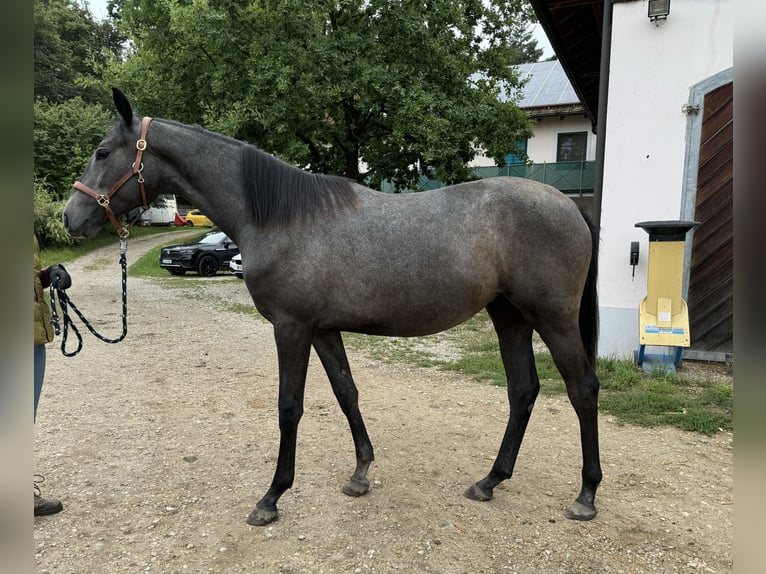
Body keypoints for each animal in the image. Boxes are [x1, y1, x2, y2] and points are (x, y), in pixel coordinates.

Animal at [63, 88, 604, 528]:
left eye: (102, 152)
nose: (70, 217)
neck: (280, 216)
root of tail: (568, 206)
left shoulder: (291, 329)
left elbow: (289, 407)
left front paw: (272, 497)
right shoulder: (322, 330)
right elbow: (347, 394)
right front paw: (361, 473)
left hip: (552, 319)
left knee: (582, 389)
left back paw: (586, 495)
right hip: (508, 317)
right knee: (523, 391)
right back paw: (490, 481)